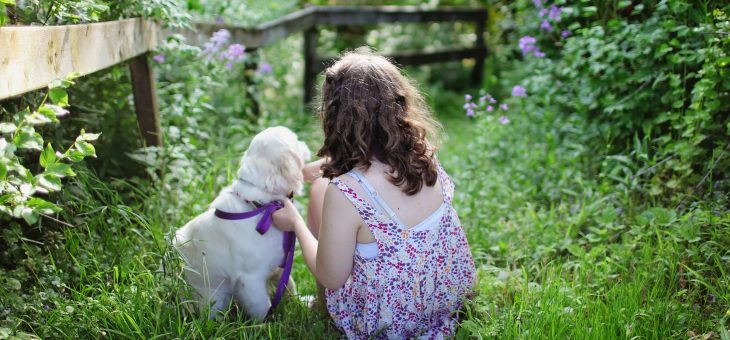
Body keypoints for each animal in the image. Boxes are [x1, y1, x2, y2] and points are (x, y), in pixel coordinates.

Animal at [176, 126, 312, 320]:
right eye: (295, 139)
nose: (305, 143)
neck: (261, 207)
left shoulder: (280, 264)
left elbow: (289, 285)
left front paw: (302, 302)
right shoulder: (251, 279)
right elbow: (262, 307)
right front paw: (267, 323)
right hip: (214, 299)